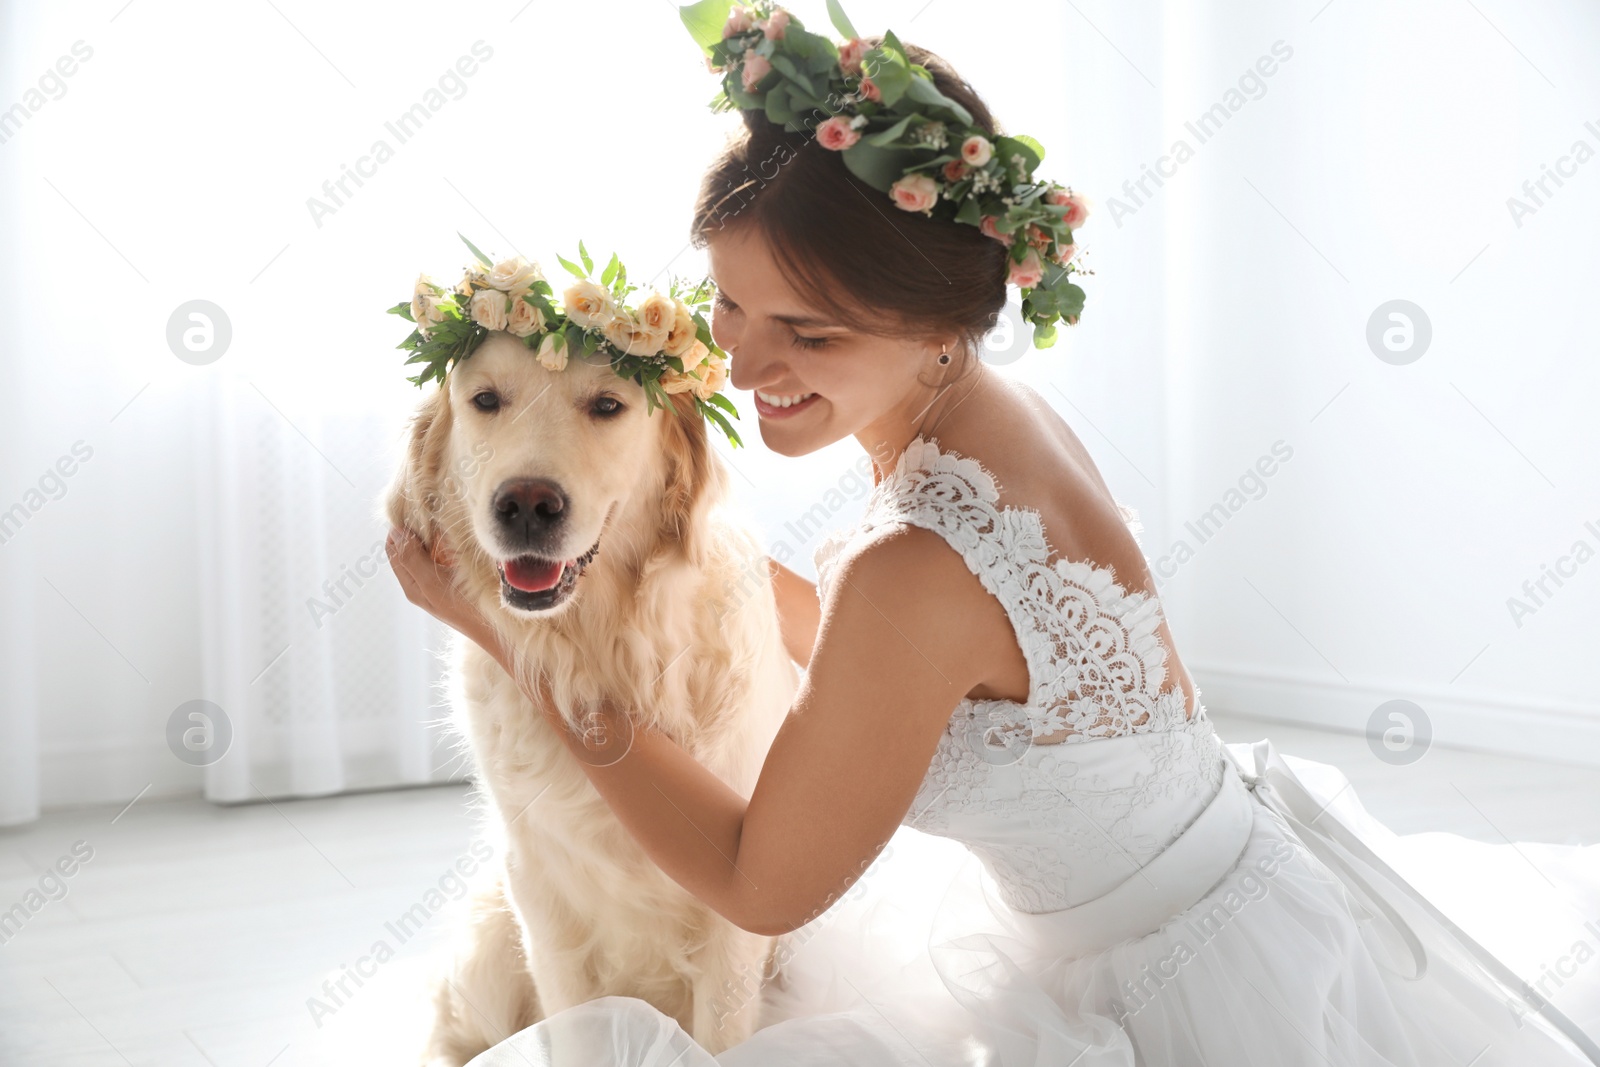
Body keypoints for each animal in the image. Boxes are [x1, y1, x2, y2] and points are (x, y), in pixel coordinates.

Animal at [387, 331, 800, 1062]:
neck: (601, 652)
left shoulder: (737, 921)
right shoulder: (543, 901)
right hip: (492, 948)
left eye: (608, 404)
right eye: (485, 400)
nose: (527, 504)